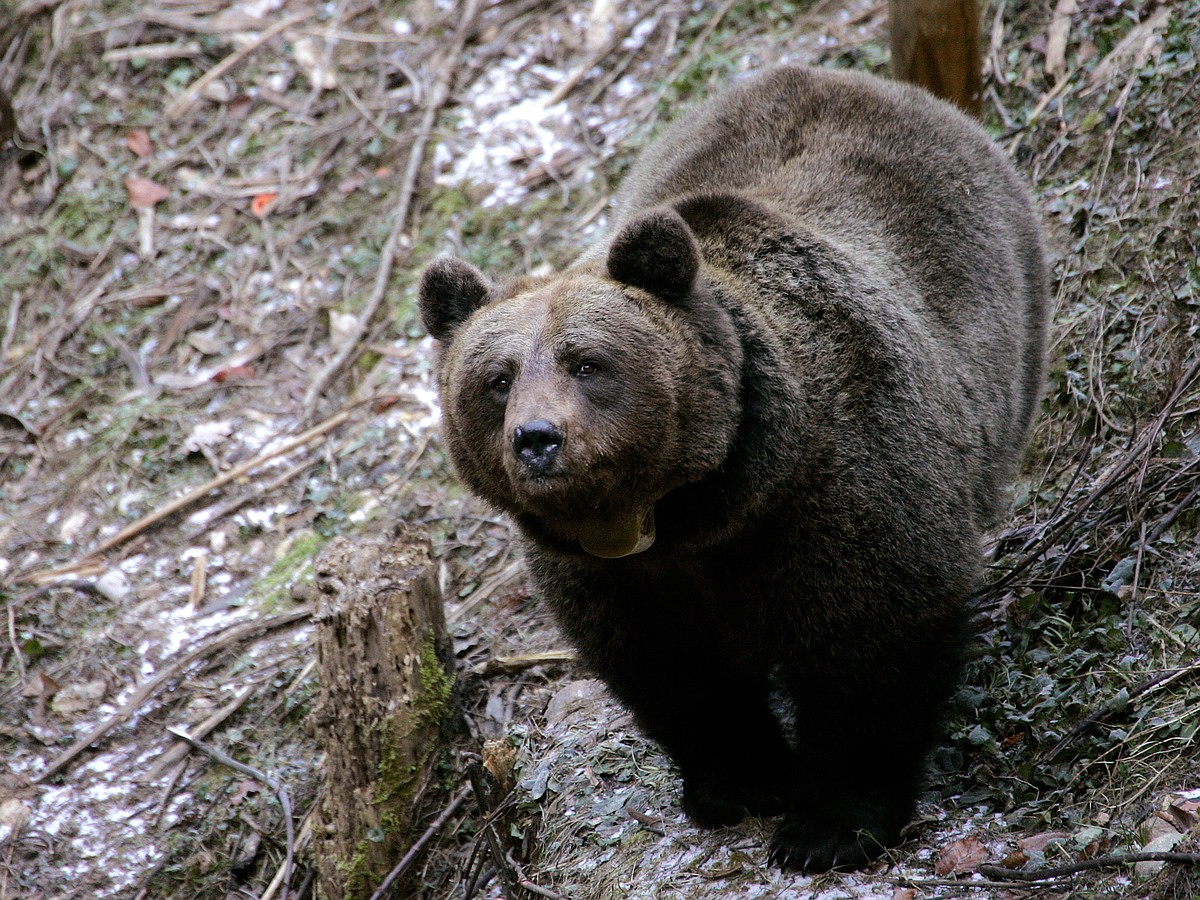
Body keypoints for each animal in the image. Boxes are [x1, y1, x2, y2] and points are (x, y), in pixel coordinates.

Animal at [417, 66, 1046, 878]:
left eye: (587, 362)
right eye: (497, 379)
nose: (536, 439)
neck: (698, 506)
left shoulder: (843, 482)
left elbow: (871, 641)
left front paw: (829, 825)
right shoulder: (614, 575)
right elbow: (674, 672)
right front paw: (741, 781)